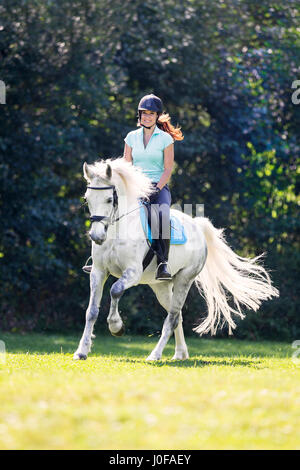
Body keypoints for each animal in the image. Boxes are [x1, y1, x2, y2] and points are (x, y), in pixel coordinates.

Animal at [74, 158, 280, 360]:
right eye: (87, 199)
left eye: (109, 199)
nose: (97, 236)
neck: (118, 230)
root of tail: (197, 226)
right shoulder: (99, 272)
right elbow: (91, 311)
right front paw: (81, 351)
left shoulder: (132, 272)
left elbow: (115, 290)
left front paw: (116, 326)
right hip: (160, 285)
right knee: (177, 316)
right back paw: (180, 353)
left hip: (184, 279)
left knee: (172, 318)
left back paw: (155, 355)